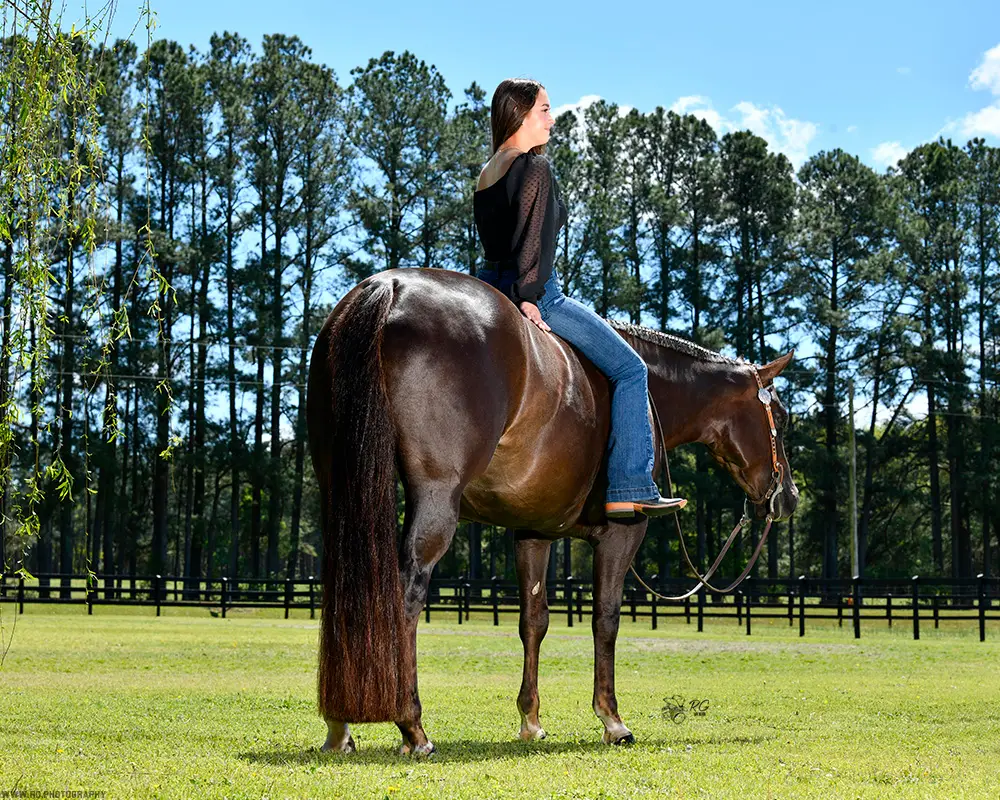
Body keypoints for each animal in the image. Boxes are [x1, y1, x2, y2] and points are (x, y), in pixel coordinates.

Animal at [306, 267, 798, 756]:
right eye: (782, 415)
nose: (789, 496)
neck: (653, 391)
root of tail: (390, 288)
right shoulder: (622, 534)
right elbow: (605, 619)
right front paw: (612, 719)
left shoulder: (533, 532)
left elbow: (534, 622)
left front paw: (531, 720)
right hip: (434, 501)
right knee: (405, 593)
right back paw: (413, 728)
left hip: (341, 495)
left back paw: (338, 727)